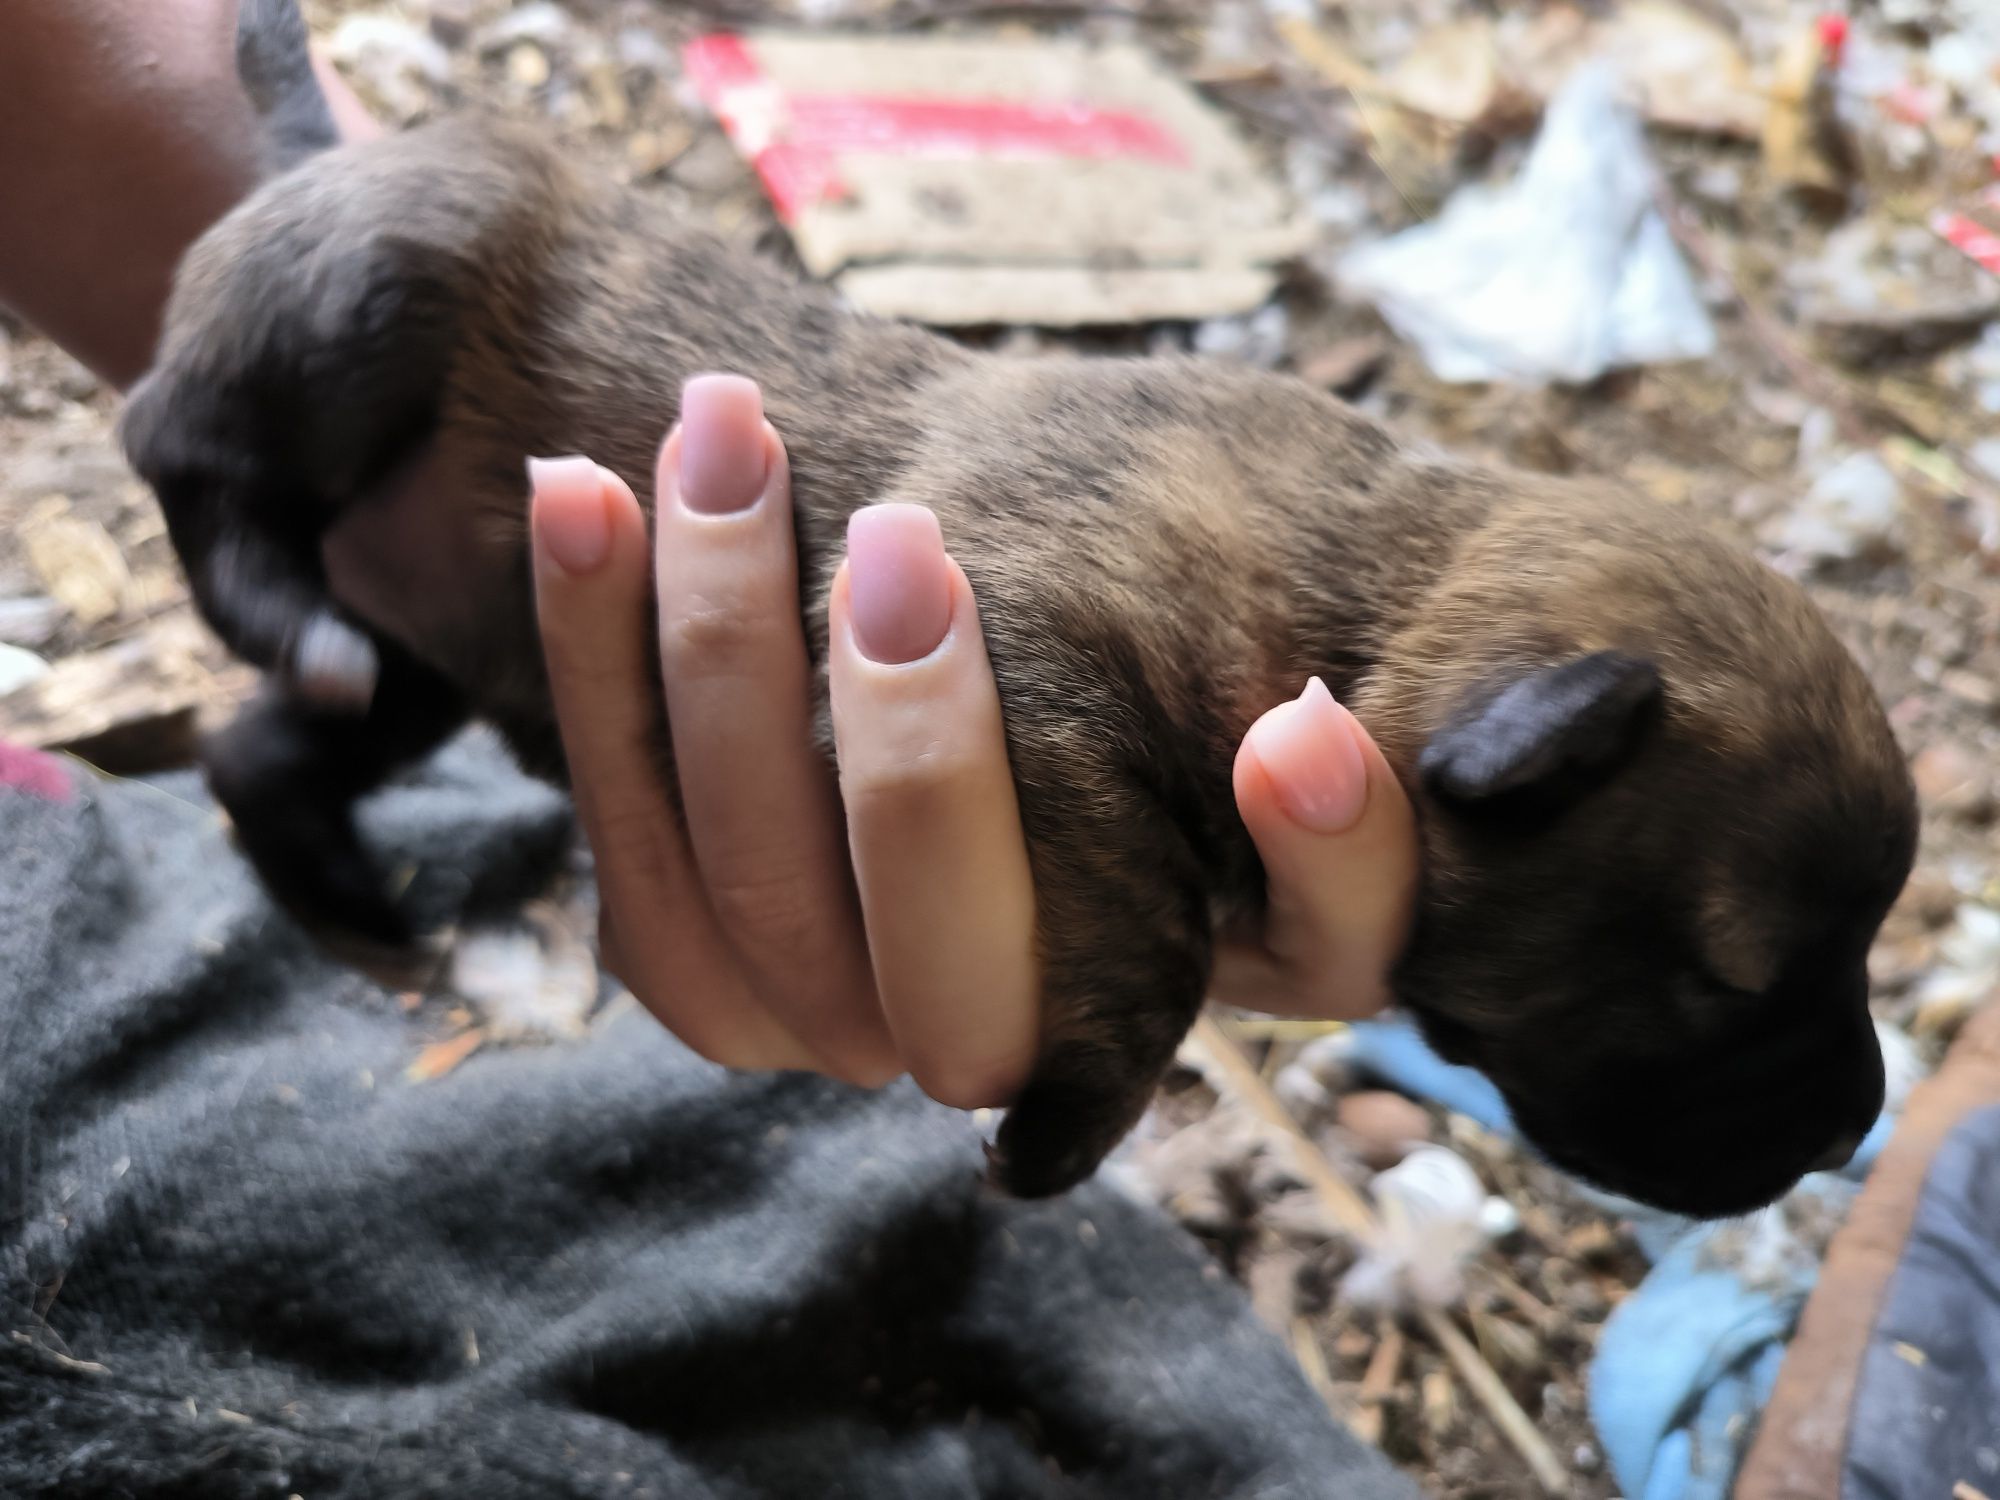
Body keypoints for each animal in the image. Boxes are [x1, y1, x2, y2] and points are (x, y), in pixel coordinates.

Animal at [121, 0, 1920, 1224]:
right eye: (1731, 984)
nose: (1852, 1133)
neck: (1365, 595)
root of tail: (333, 149)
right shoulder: (1031, 648)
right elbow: (1153, 933)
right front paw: (1068, 1129)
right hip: (385, 281)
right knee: (179, 433)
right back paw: (269, 598)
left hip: (422, 649)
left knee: (268, 745)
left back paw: (346, 882)